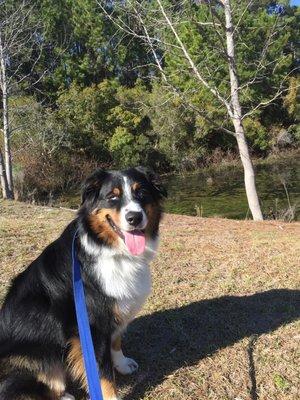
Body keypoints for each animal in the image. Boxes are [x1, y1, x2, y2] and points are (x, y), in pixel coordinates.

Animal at [0, 166, 166, 400]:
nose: (134, 217)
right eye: (112, 196)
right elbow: (102, 373)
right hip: (40, 356)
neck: (112, 251)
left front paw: (122, 364)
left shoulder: (115, 310)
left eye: (141, 192)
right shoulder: (92, 327)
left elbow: (116, 341)